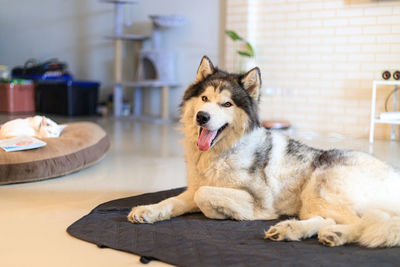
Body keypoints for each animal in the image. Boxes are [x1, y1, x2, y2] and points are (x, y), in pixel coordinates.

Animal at [127, 56, 400, 249]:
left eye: (226, 104)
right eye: (204, 98)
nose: (202, 117)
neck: (221, 154)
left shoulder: (258, 201)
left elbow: (203, 195)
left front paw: (223, 214)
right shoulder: (193, 187)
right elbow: (173, 200)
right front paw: (147, 210)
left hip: (320, 185)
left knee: (363, 223)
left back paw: (336, 234)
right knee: (332, 220)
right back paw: (291, 230)